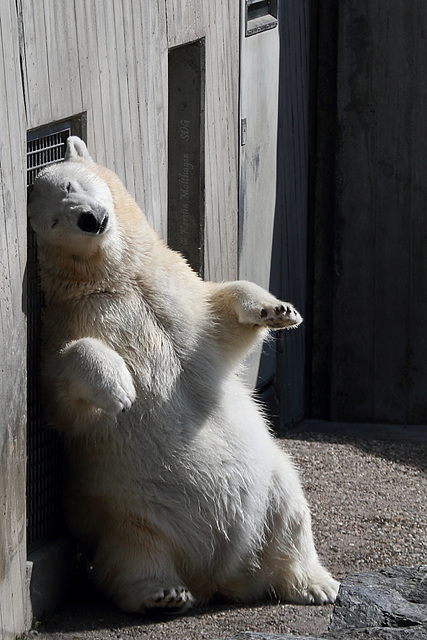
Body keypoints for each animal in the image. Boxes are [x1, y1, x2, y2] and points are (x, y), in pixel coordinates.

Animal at [28, 136, 340, 616]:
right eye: (53, 220)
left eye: (69, 184)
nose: (89, 219)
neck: (115, 281)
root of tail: (217, 574)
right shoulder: (69, 321)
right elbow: (60, 390)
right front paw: (120, 390)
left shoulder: (174, 290)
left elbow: (222, 316)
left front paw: (277, 310)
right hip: (126, 510)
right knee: (129, 556)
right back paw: (163, 594)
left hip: (269, 483)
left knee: (290, 512)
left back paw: (314, 583)